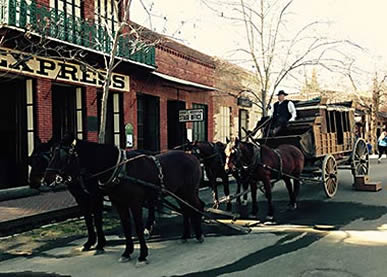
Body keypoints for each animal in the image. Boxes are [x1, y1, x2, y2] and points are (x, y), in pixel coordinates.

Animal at [43, 135, 205, 264]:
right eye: (51, 154)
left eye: (62, 156)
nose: (46, 180)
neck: (119, 170)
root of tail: (192, 156)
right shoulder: (116, 203)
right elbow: (124, 226)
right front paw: (126, 252)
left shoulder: (130, 202)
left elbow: (135, 227)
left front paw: (142, 255)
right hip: (180, 192)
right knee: (186, 210)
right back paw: (185, 235)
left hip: (189, 191)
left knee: (197, 206)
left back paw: (199, 235)